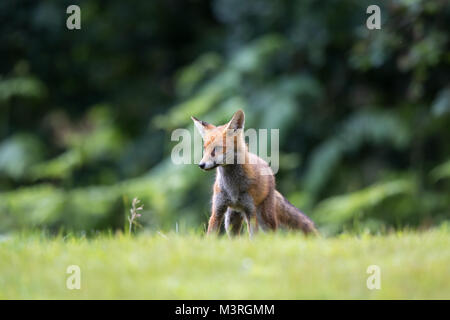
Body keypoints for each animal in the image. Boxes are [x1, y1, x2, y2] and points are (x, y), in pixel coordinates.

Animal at [192, 110, 318, 238]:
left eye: (216, 148)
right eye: (205, 149)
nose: (201, 165)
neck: (232, 188)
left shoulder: (250, 212)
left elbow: (254, 238)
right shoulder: (217, 211)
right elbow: (210, 236)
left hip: (265, 219)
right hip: (230, 221)